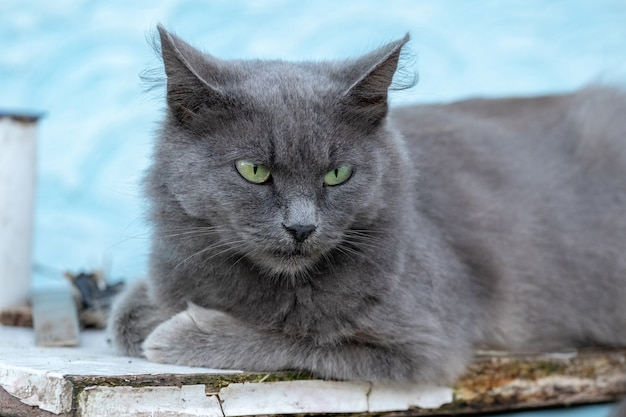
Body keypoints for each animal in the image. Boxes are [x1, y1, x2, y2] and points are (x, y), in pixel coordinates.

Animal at [109, 24, 624, 384]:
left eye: (338, 174)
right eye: (254, 171)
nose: (301, 227)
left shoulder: (423, 344)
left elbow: (303, 338)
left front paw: (180, 331)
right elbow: (126, 314)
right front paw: (153, 314)